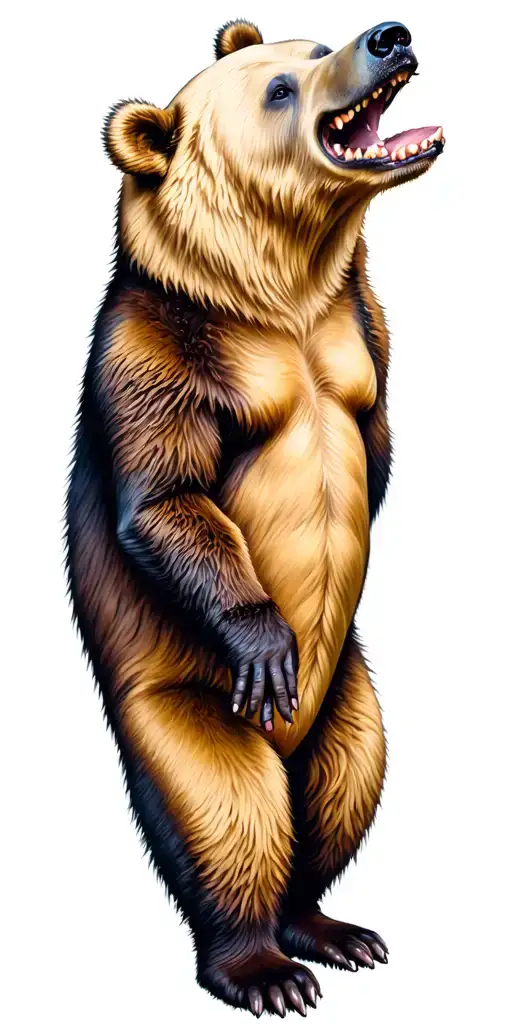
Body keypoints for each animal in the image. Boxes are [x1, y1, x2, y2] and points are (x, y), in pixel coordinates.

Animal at [66, 18, 444, 1018]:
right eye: (279, 87)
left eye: (313, 46)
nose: (389, 35)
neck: (276, 296)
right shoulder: (155, 347)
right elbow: (167, 496)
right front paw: (267, 631)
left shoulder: (361, 327)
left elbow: (376, 444)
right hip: (186, 698)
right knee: (229, 808)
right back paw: (260, 966)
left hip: (348, 694)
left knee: (343, 786)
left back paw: (327, 926)